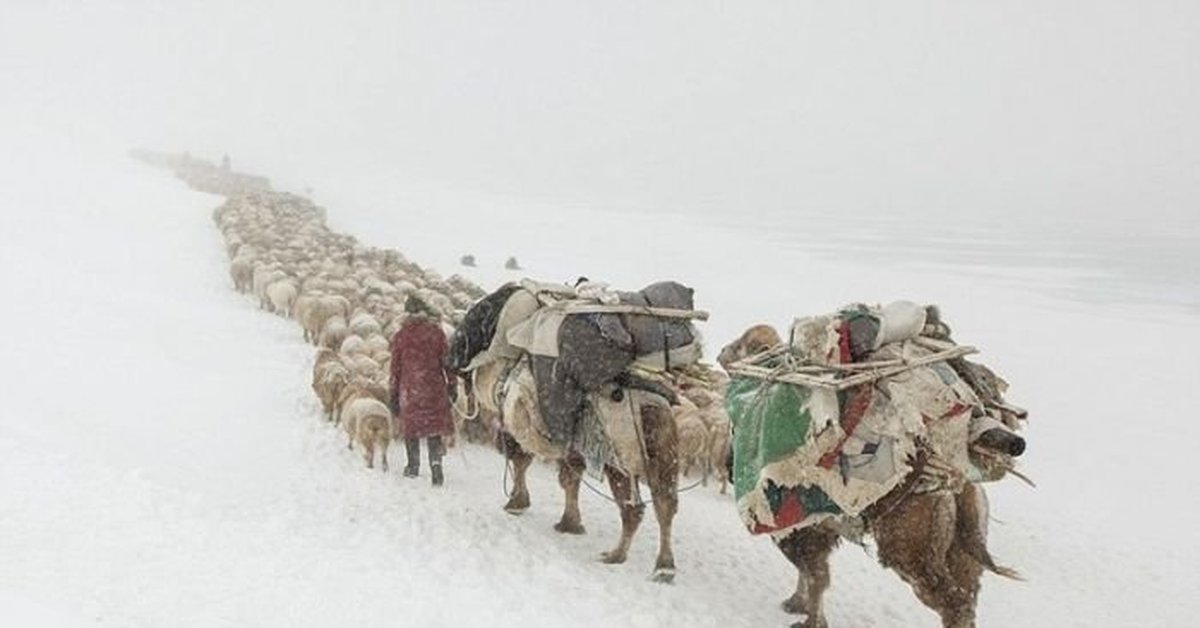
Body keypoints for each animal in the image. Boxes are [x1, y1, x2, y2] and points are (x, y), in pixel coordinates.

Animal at [460, 357, 681, 585]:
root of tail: (652, 407)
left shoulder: (520, 425)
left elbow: (521, 458)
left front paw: (517, 503)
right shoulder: (573, 448)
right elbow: (568, 479)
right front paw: (570, 523)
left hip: (620, 459)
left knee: (634, 508)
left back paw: (617, 555)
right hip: (664, 456)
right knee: (665, 504)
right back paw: (663, 568)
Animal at [715, 329, 1017, 628]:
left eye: (744, 345)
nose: (722, 353)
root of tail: (957, 481)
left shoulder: (798, 526)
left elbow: (815, 573)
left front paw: (808, 619)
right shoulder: (817, 528)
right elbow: (814, 572)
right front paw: (796, 605)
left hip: (910, 552)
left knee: (952, 600)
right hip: (963, 549)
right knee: (968, 592)